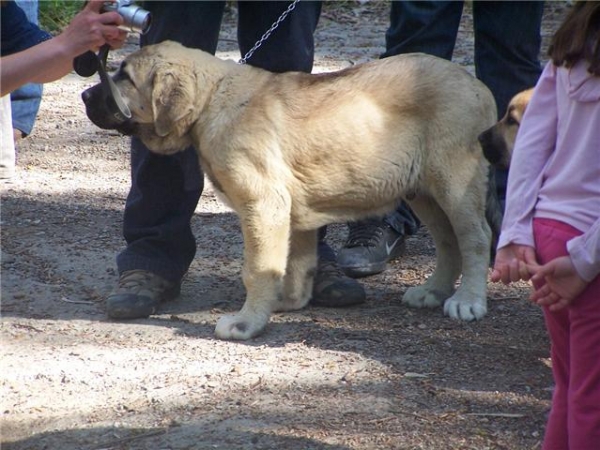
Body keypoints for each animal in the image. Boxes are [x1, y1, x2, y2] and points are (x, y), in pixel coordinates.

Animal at [83, 42, 496, 340]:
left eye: (124, 77)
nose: (85, 96)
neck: (213, 99)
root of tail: (478, 86)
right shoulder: (292, 211)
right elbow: (294, 262)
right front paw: (288, 302)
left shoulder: (263, 204)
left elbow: (257, 269)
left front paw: (246, 324)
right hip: (422, 190)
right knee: (448, 241)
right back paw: (434, 292)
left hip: (453, 180)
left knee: (476, 238)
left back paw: (468, 301)